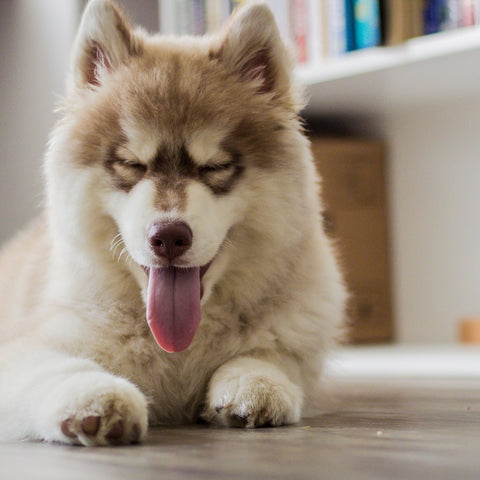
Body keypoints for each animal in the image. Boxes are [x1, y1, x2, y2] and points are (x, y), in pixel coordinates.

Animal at [0, 0, 346, 446]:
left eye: (214, 166)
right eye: (131, 164)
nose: (168, 237)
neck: (177, 349)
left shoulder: (298, 338)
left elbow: (271, 355)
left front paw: (255, 381)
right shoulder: (29, 345)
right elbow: (58, 368)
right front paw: (95, 395)